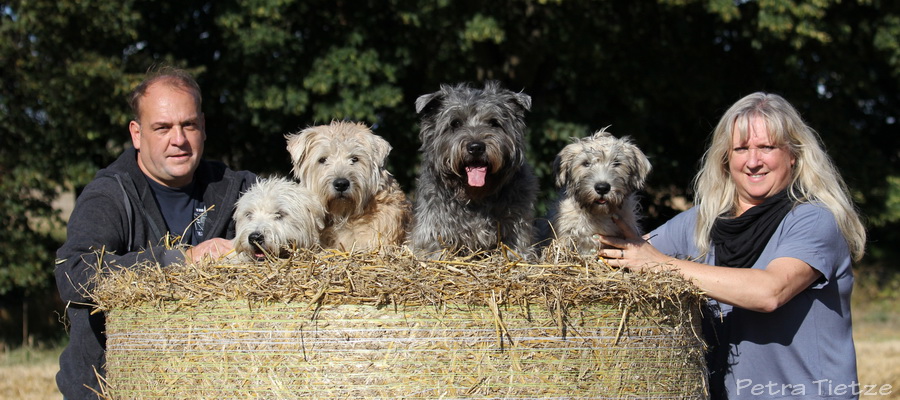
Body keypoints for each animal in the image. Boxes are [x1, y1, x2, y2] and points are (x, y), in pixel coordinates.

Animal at [412, 80, 536, 260]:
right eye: (455, 123)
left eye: (494, 122)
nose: (476, 147)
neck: (475, 196)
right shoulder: (432, 233)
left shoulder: (518, 229)